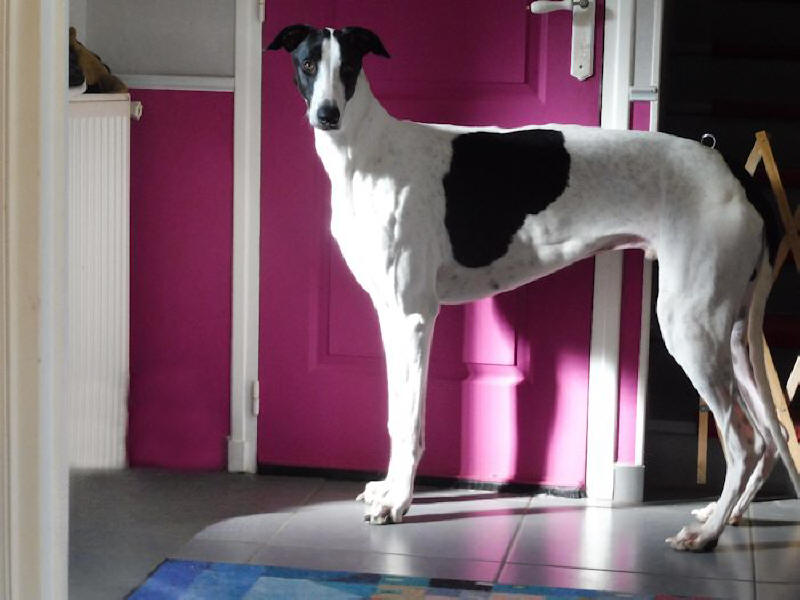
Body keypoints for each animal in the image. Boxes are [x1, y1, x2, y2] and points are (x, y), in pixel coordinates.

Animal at [268, 24, 800, 551]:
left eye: (348, 66)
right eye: (308, 63)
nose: (327, 115)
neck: (367, 152)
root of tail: (737, 175)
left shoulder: (415, 317)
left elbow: (411, 421)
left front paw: (398, 502)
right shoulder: (390, 316)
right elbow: (396, 415)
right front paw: (386, 489)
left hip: (690, 327)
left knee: (743, 442)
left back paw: (706, 535)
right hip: (734, 336)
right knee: (767, 438)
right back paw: (723, 514)